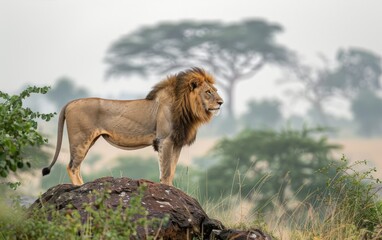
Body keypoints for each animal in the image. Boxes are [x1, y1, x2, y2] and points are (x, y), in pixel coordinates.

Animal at [41, 67, 222, 186]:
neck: (186, 109)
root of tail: (71, 102)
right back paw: (80, 187)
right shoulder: (164, 140)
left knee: (75, 167)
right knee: (72, 166)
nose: (221, 102)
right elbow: (165, 171)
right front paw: (167, 190)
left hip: (89, 140)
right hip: (80, 139)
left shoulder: (176, 142)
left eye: (215, 90)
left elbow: (171, 170)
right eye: (208, 92)